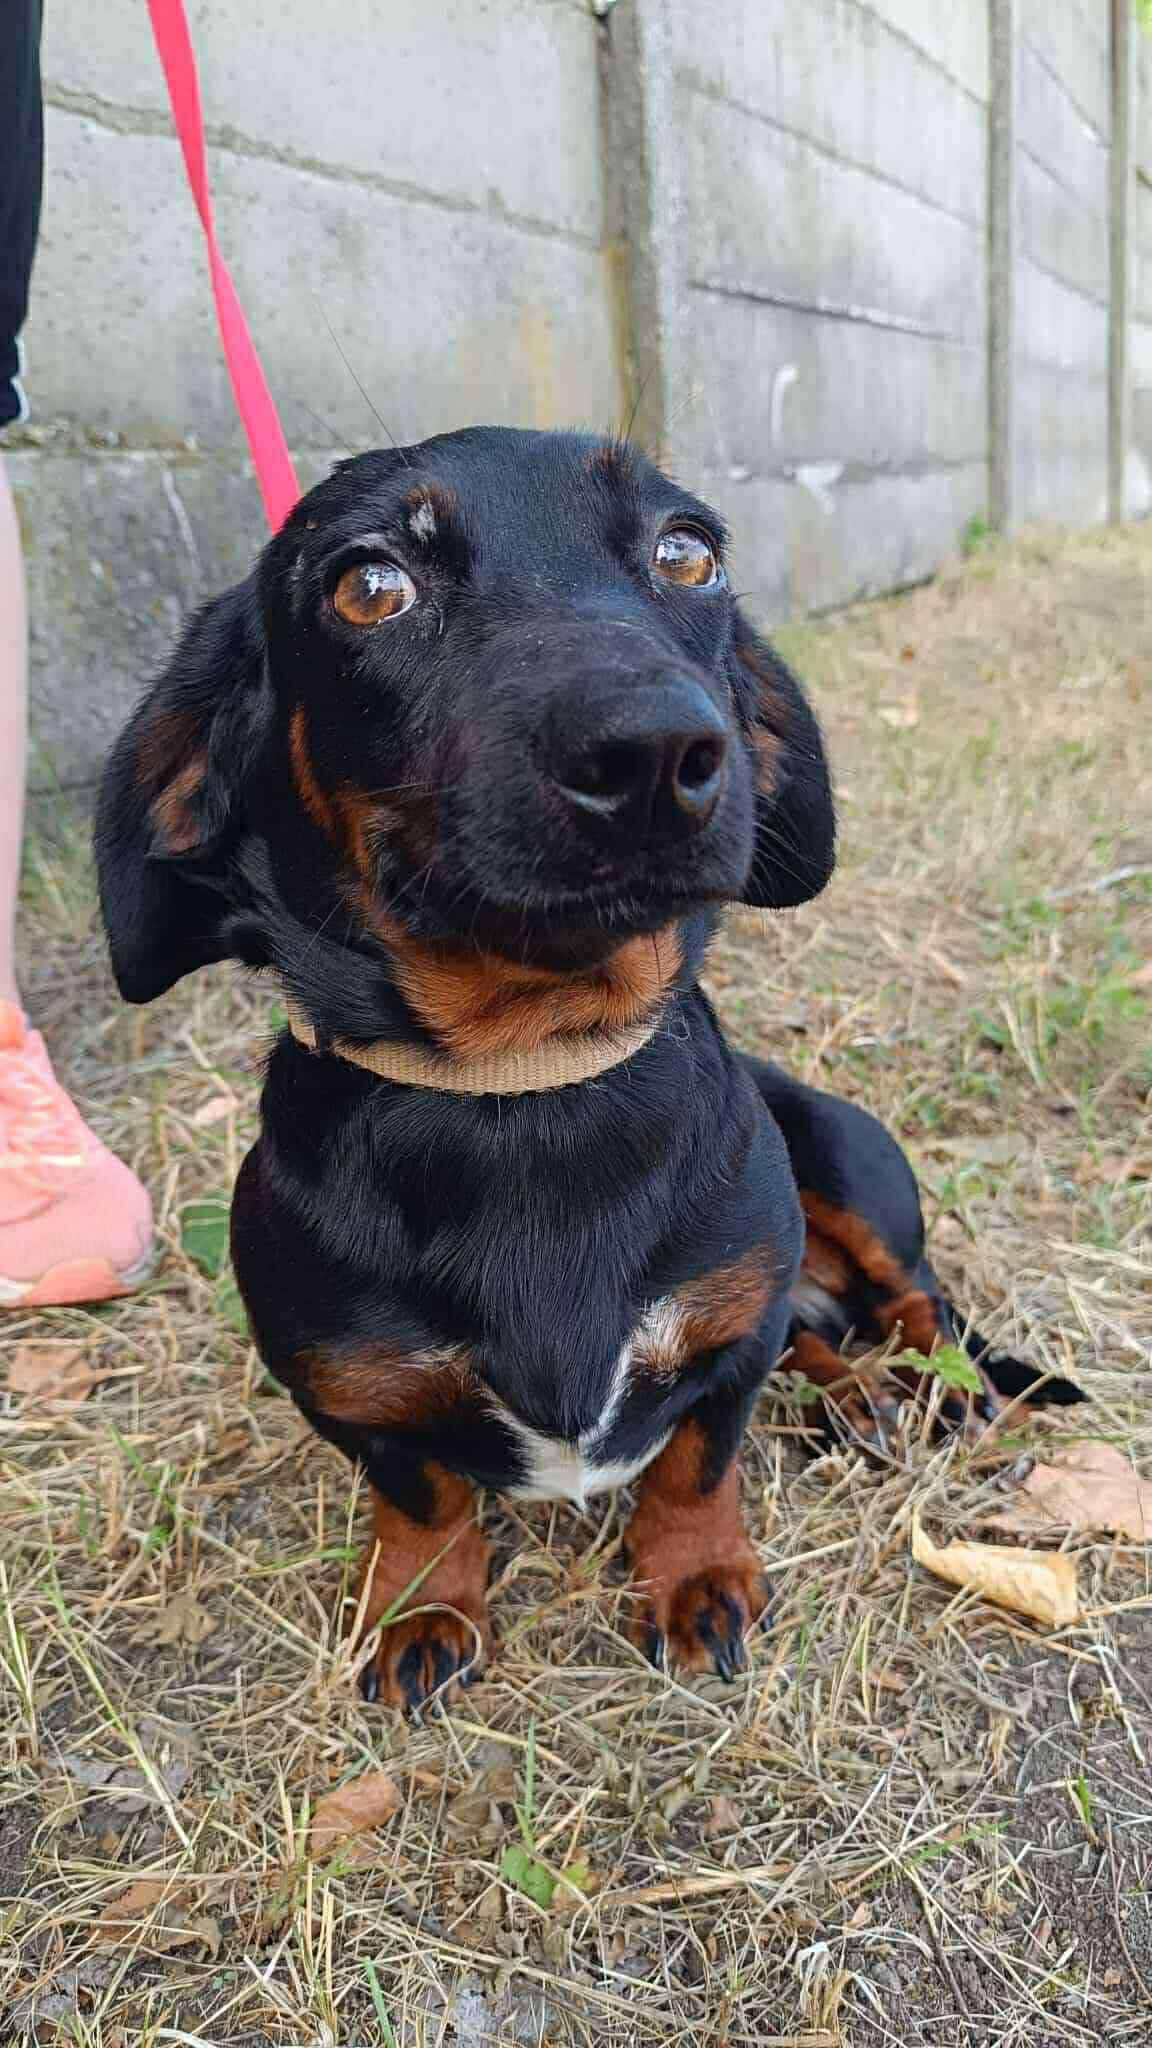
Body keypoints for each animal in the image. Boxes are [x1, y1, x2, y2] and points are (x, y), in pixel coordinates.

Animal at [96, 428, 1080, 1710]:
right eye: (369, 583)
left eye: (688, 551)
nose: (656, 751)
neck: (529, 1086)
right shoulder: (349, 1395)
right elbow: (423, 1497)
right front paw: (422, 1605)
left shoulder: (730, 1337)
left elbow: (697, 1460)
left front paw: (694, 1574)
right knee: (817, 1329)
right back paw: (850, 1388)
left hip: (846, 1157)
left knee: (914, 1293)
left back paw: (930, 1378)